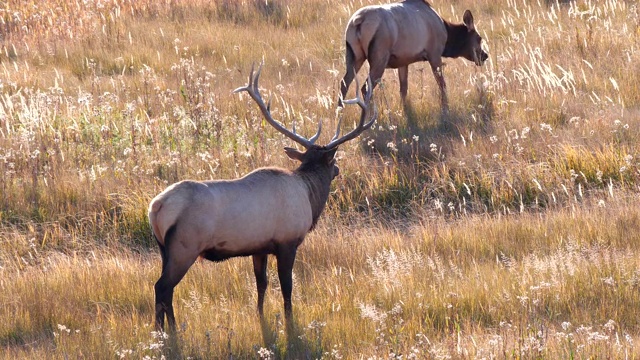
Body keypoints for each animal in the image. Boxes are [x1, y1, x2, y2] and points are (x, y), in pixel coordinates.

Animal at [148, 64, 378, 332]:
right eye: (333, 162)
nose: (338, 170)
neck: (310, 196)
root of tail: (156, 207)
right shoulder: (287, 241)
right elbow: (287, 286)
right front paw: (289, 320)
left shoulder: (259, 247)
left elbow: (262, 283)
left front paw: (259, 315)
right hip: (184, 246)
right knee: (162, 286)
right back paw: (164, 332)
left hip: (164, 248)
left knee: (166, 290)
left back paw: (168, 330)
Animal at [338, 0, 488, 112]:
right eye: (479, 38)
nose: (485, 56)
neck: (447, 37)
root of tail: (358, 21)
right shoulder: (434, 53)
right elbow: (442, 85)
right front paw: (446, 109)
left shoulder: (403, 61)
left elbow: (403, 89)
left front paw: (403, 110)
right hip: (379, 57)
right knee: (365, 88)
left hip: (354, 55)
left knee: (344, 82)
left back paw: (339, 113)